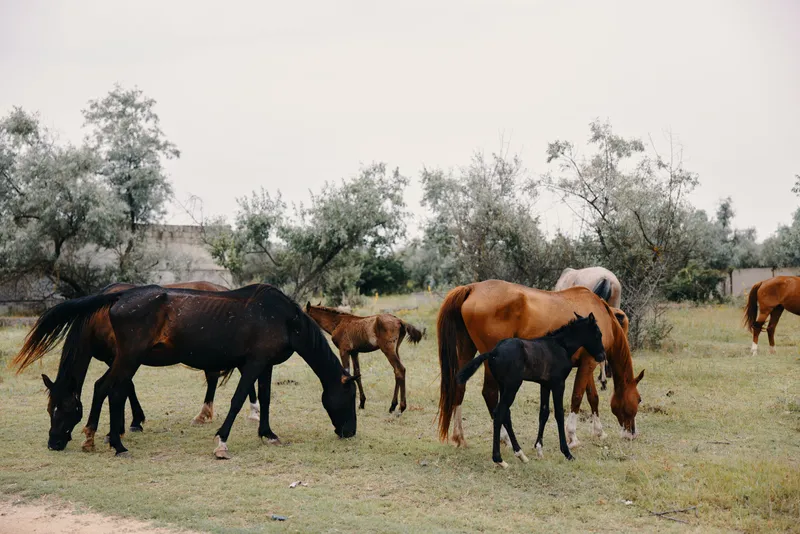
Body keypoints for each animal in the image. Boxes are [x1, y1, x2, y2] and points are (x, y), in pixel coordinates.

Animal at [13, 284, 358, 458]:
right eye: (351, 396)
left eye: (58, 410)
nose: (350, 432)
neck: (284, 318)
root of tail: (121, 295)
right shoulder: (254, 364)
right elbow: (237, 400)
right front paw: (221, 442)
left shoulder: (265, 366)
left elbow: (266, 398)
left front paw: (268, 434)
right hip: (128, 359)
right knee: (107, 388)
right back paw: (113, 442)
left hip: (127, 360)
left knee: (111, 388)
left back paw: (101, 439)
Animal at [437, 279, 644, 449]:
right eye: (639, 399)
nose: (632, 433)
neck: (602, 315)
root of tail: (472, 288)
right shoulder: (590, 363)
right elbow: (577, 397)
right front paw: (573, 437)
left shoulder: (587, 363)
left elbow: (592, 397)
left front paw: (599, 432)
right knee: (489, 393)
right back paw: (505, 439)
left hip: (467, 352)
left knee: (459, 387)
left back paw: (459, 437)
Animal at [457, 312, 606, 467]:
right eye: (598, 334)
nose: (602, 356)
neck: (560, 346)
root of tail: (494, 352)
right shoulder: (558, 384)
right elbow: (559, 414)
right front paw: (567, 453)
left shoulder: (545, 385)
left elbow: (544, 413)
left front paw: (539, 449)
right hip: (512, 386)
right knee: (499, 413)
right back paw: (499, 460)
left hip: (504, 386)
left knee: (506, 414)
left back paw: (520, 454)